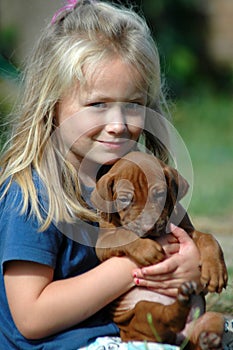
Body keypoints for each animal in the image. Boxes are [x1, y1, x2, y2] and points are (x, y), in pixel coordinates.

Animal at [91, 151, 228, 350]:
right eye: (124, 199)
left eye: (160, 195)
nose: (149, 226)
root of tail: (178, 339)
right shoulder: (103, 242)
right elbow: (124, 234)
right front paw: (147, 249)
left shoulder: (187, 230)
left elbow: (208, 238)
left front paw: (215, 271)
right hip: (141, 312)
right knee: (163, 317)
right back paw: (182, 301)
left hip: (210, 317)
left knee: (207, 324)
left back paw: (207, 339)